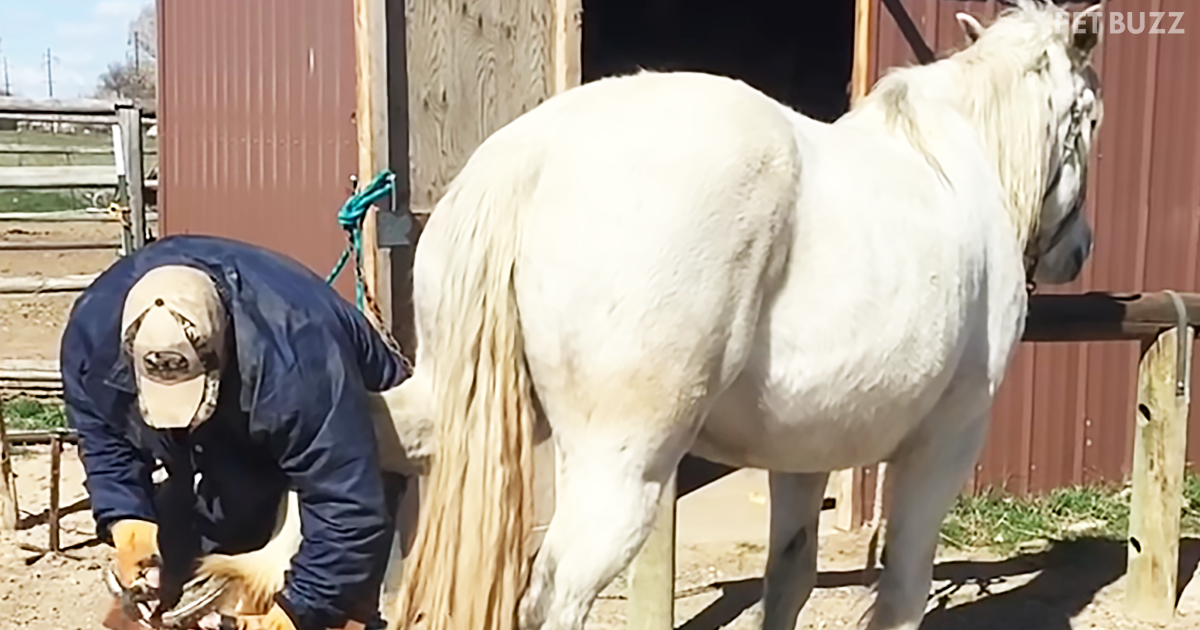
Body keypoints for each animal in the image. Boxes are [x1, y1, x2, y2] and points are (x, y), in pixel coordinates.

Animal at [177, 2, 1106, 630]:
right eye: (1090, 118)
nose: (1080, 251)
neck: (956, 167)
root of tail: (532, 152)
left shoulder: (804, 457)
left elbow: (791, 577)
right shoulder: (945, 442)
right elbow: (905, 584)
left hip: (443, 400)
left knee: (348, 444)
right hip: (621, 470)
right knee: (555, 592)